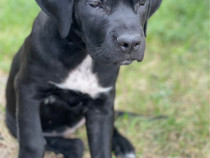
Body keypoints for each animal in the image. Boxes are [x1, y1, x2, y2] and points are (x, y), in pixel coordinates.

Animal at [5, 0, 162, 158]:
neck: (82, 54)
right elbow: (33, 141)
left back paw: (122, 144)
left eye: (142, 3)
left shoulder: (101, 105)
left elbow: (102, 146)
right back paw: (71, 146)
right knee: (60, 142)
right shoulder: (28, 90)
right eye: (95, 4)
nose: (130, 43)